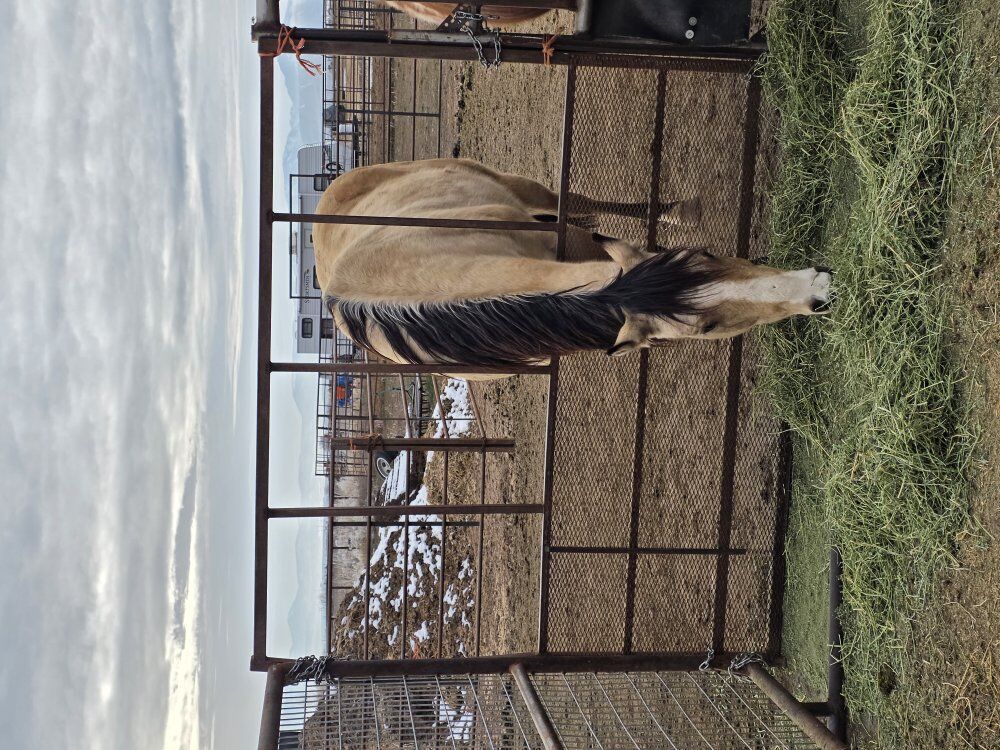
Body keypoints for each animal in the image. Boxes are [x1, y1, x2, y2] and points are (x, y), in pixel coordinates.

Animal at [312, 158, 832, 370]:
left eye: (703, 254)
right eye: (707, 328)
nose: (815, 289)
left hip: (518, 185)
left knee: (577, 202)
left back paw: (673, 209)